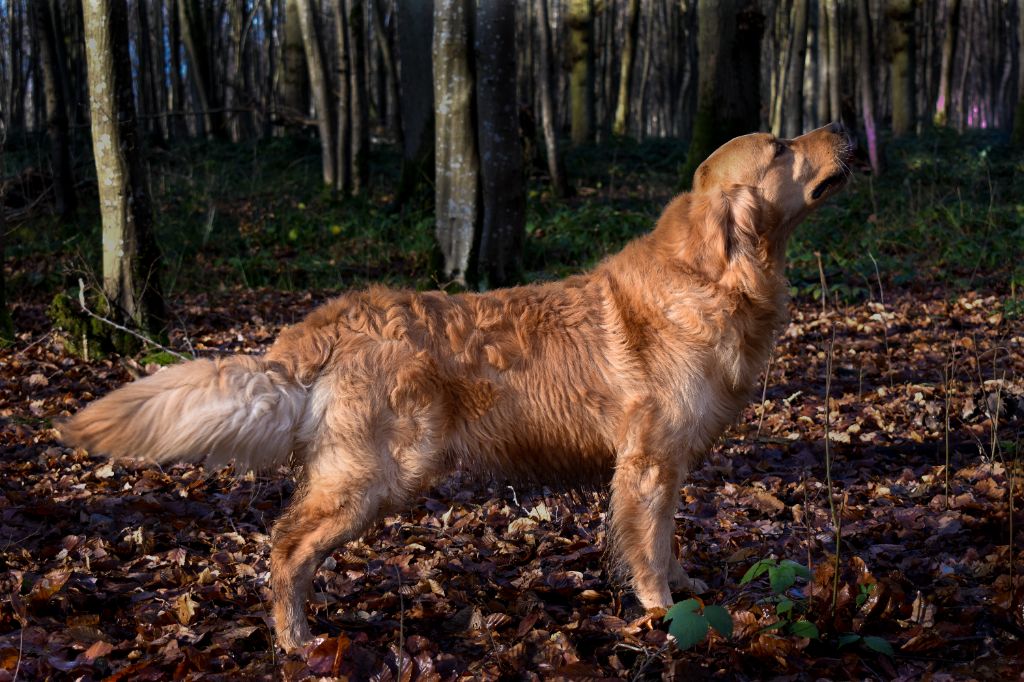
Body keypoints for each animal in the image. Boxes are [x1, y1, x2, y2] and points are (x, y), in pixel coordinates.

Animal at [61, 124, 853, 650]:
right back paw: (295, 638)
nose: (844, 128)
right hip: (381, 471)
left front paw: (683, 589)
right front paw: (660, 613)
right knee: (285, 545)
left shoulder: (669, 463)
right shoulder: (648, 462)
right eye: (780, 148)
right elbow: (647, 546)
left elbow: (668, 539)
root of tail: (331, 318)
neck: (712, 276)